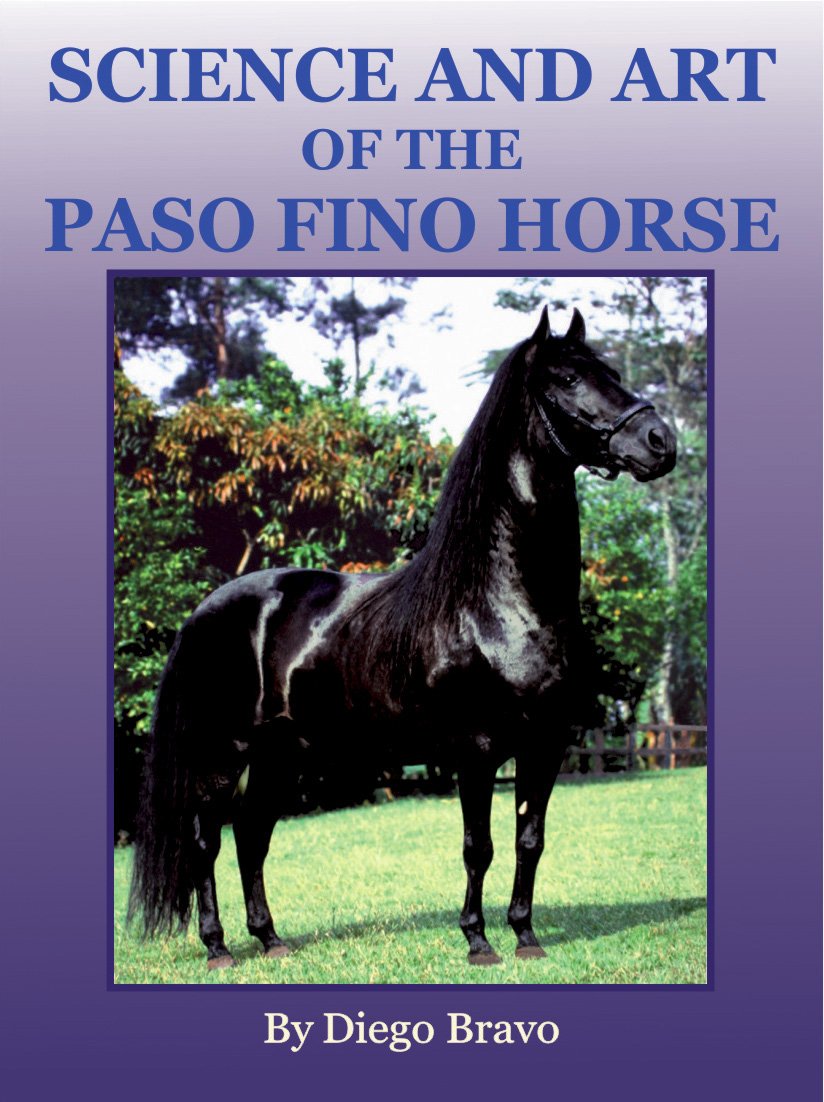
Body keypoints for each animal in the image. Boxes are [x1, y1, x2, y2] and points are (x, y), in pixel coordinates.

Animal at [128, 306, 676, 970]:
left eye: (613, 373)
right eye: (568, 378)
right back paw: (218, 948)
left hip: (281, 756)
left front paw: (526, 936)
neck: (499, 603)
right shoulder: (476, 748)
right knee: (206, 839)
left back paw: (272, 939)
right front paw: (477, 940)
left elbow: (529, 840)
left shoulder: (546, 744)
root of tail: (204, 613)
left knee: (251, 835)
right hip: (222, 752)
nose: (660, 441)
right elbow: (478, 846)